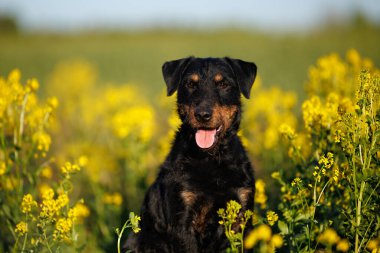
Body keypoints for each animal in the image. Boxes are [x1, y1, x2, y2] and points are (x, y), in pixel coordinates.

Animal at [126, 56, 256, 252]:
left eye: (223, 83)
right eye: (190, 84)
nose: (202, 114)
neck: (212, 159)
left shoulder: (242, 217)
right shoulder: (182, 220)